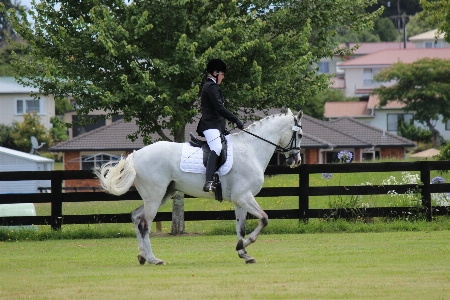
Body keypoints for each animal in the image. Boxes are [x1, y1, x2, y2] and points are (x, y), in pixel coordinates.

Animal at [94, 109, 302, 264]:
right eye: (298, 134)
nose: (296, 160)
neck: (250, 149)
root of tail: (136, 155)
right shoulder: (244, 197)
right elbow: (264, 219)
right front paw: (245, 245)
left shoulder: (240, 199)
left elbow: (241, 228)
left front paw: (243, 252)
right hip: (155, 196)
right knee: (144, 224)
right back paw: (154, 259)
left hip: (162, 195)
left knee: (136, 217)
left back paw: (142, 256)